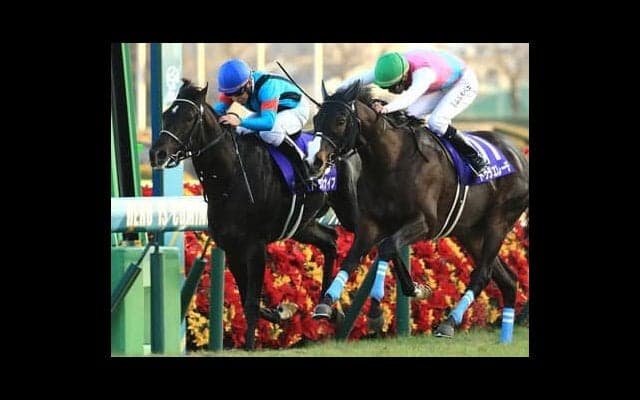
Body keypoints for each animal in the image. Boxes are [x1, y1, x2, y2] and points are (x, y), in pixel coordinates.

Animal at [149, 79, 360, 350]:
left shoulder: (256, 246)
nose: (157, 154)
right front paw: (283, 311)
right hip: (302, 225)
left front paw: (251, 345)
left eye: (188, 118)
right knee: (331, 240)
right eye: (166, 115)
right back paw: (332, 309)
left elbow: (250, 303)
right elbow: (249, 301)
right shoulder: (232, 248)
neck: (230, 177)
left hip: (350, 211)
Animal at [311, 81, 529, 342]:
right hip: (471, 233)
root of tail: (518, 156)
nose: (316, 160)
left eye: (341, 120)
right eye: (316, 119)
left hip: (498, 222)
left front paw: (376, 312)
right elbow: (353, 257)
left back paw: (448, 323)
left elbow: (387, 248)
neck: (392, 161)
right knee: (508, 280)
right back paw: (504, 338)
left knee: (483, 274)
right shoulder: (370, 223)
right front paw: (326, 304)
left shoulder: (424, 223)